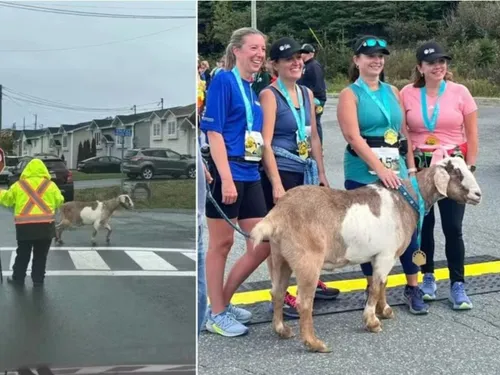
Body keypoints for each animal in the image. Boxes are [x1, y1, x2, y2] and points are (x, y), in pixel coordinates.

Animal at [252, 157, 482, 354]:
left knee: (277, 292)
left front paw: (385, 311)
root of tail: (276, 215)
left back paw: (282, 330)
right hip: (307, 260)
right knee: (304, 302)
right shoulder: (386, 255)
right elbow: (375, 287)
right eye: (457, 173)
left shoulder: (380, 255)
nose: (478, 194)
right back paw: (315, 344)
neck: (406, 200)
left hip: (279, 257)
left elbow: (382, 284)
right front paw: (372, 322)